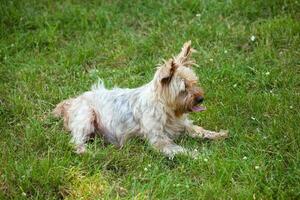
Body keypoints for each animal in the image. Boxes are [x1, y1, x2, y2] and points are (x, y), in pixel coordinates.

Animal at [54, 41, 227, 158]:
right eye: (184, 89)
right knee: (76, 141)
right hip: (86, 116)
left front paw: (218, 134)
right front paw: (201, 156)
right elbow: (181, 150)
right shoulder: (159, 140)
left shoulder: (184, 125)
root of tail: (71, 102)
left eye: (194, 83)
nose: (201, 99)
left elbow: (199, 130)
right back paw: (87, 151)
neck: (166, 109)